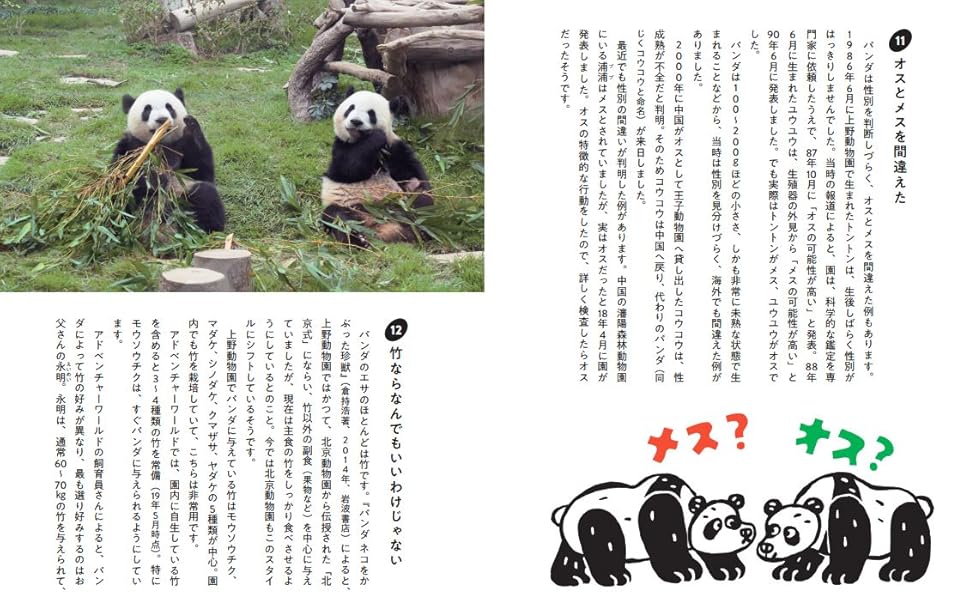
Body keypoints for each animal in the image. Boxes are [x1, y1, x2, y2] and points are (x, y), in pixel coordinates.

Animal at [112, 88, 225, 233]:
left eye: (169, 107)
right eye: (147, 109)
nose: (162, 119)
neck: (161, 143)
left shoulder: (182, 147)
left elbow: (202, 171)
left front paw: (191, 126)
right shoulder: (130, 146)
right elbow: (123, 177)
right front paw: (156, 178)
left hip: (183, 191)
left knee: (205, 195)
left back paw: (205, 227)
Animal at [320, 89, 432, 247]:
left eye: (371, 113)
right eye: (350, 108)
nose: (356, 122)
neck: (360, 139)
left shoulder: (393, 147)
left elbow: (410, 170)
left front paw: (417, 186)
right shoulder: (341, 146)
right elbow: (348, 168)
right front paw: (375, 137)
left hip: (401, 208)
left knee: (418, 211)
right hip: (350, 206)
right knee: (335, 215)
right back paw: (359, 238)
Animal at [550, 473, 756, 586]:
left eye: (735, 520)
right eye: (717, 525)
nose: (746, 531)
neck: (687, 506)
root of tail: (567, 510)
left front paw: (730, 570)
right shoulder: (660, 511)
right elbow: (666, 541)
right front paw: (684, 572)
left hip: (572, 534)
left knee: (570, 552)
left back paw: (572, 577)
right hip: (595, 516)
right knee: (602, 535)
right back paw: (615, 577)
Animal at [757, 472, 933, 584]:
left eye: (790, 533)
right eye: (771, 529)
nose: (766, 547)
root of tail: (917, 499)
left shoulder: (845, 506)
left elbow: (851, 542)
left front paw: (838, 575)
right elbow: (807, 552)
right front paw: (790, 571)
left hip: (904, 513)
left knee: (908, 536)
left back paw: (900, 572)